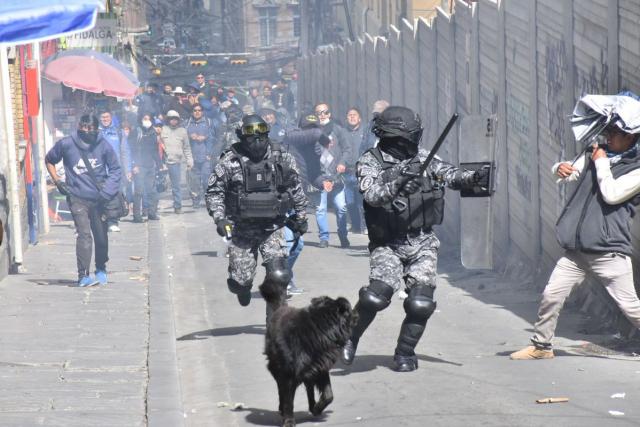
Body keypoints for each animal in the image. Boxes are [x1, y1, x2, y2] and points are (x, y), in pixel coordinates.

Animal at [259, 279, 355, 427]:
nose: (357, 315)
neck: (319, 330)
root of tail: (280, 309)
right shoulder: (288, 374)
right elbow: (288, 400)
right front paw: (289, 420)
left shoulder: (321, 367)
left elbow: (328, 395)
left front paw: (318, 408)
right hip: (277, 366)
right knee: (282, 390)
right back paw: (283, 409)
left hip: (309, 370)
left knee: (309, 388)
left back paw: (312, 407)